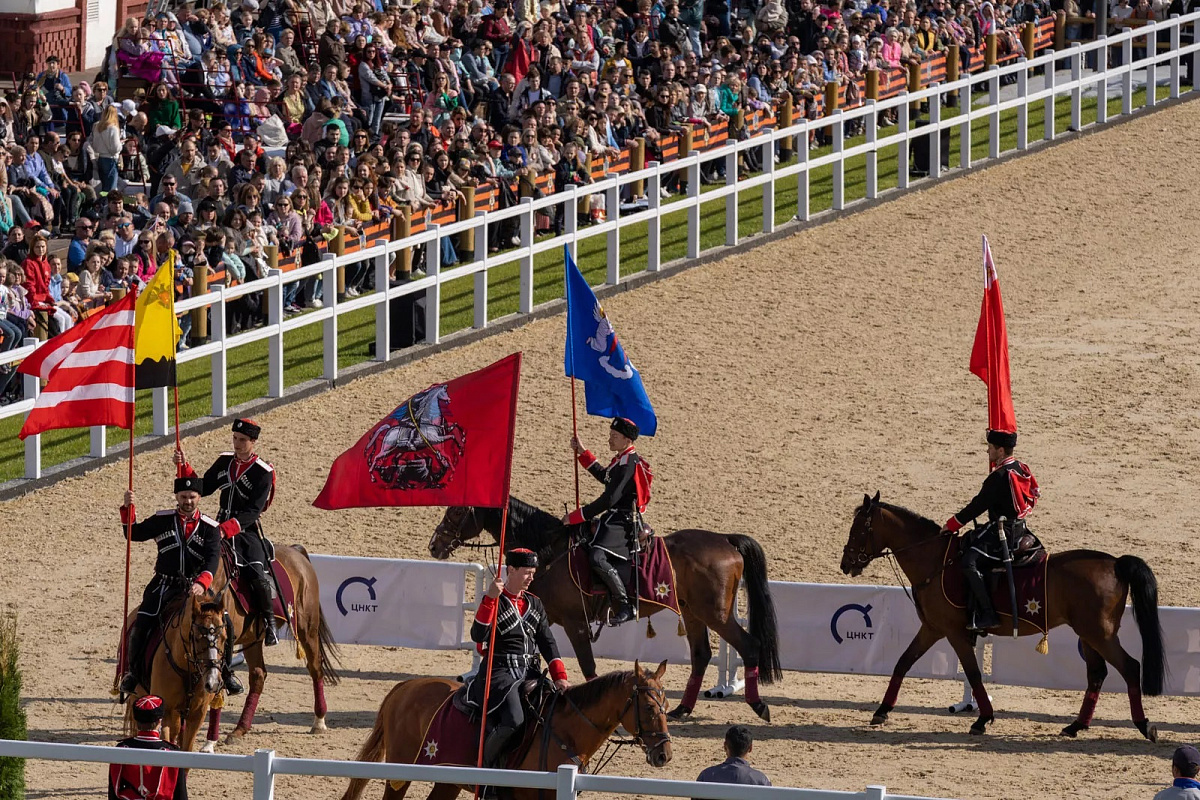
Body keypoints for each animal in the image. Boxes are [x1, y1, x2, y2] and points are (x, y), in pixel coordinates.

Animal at [125, 592, 228, 753]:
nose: (214, 682)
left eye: (224, 638)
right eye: (197, 638)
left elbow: (186, 750)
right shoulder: (165, 711)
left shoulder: (197, 715)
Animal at [340, 662, 676, 800]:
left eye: (666, 704)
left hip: (447, 779)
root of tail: (406, 686)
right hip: (401, 773)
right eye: (649, 707)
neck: (564, 732)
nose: (664, 754)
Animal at [427, 496, 782, 724]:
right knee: (701, 655)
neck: (550, 551)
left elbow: (587, 666)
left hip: (716, 615)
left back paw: (758, 705)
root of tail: (725, 539)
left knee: (749, 645)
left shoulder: (575, 623)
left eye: (456, 511)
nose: (435, 546)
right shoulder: (545, 619)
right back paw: (682, 709)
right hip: (693, 613)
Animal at [844, 491, 1161, 743]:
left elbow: (973, 673)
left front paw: (983, 719)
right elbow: (902, 663)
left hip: (1099, 634)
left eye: (858, 529)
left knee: (1130, 667)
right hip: (1088, 635)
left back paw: (1144, 725)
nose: (845, 563)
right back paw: (1076, 726)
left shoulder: (955, 632)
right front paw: (882, 711)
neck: (935, 561)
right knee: (1096, 675)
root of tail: (1115, 563)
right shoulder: (932, 629)